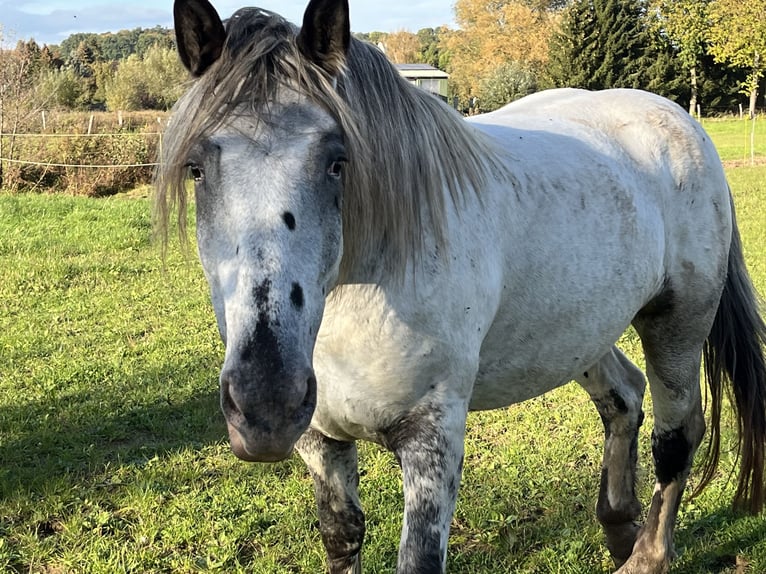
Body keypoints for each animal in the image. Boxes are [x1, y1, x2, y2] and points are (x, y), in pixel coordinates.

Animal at [158, 1, 766, 572]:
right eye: (196, 168)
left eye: (337, 162)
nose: (264, 406)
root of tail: (675, 117)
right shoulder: (320, 439)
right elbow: (341, 534)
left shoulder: (433, 438)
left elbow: (419, 558)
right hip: (581, 333)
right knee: (624, 399)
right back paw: (620, 528)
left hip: (678, 323)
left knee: (677, 434)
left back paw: (647, 555)